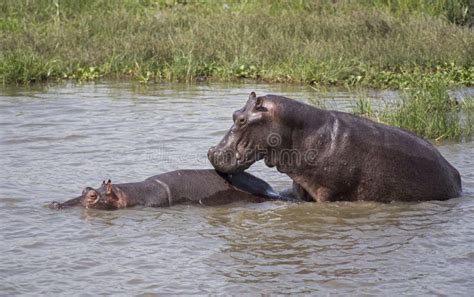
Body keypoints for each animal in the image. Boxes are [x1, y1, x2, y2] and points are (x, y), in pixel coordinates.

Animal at [207, 92, 462, 201]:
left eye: (242, 120)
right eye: (235, 113)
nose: (212, 152)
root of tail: (453, 172)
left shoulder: (328, 193)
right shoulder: (301, 185)